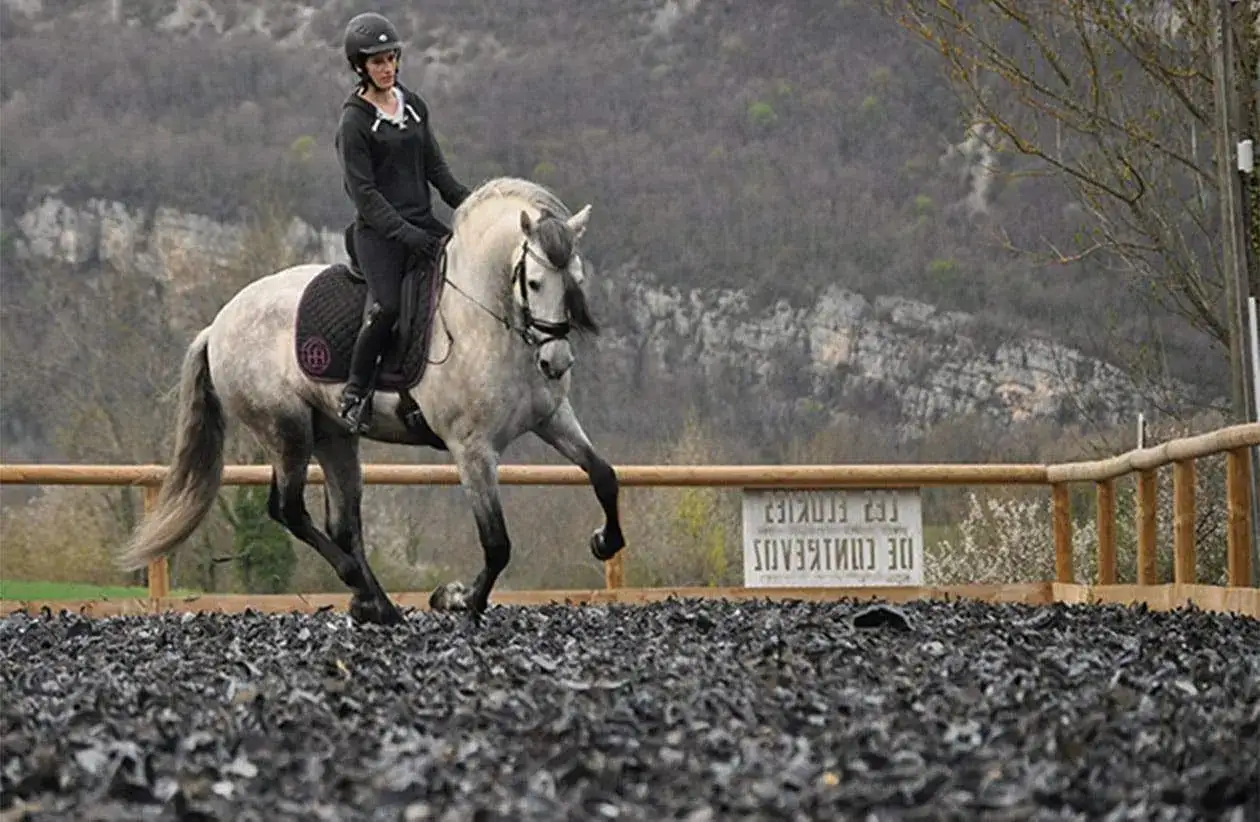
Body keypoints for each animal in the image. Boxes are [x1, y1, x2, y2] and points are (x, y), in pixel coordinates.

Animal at [115, 176, 625, 625]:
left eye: (577, 278)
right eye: (534, 282)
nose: (556, 362)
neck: (486, 319)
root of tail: (218, 324)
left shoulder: (553, 418)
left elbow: (604, 474)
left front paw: (604, 541)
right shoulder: (472, 448)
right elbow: (497, 543)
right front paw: (459, 599)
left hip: (334, 436)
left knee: (341, 524)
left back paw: (376, 605)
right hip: (286, 430)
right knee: (289, 510)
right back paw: (362, 589)